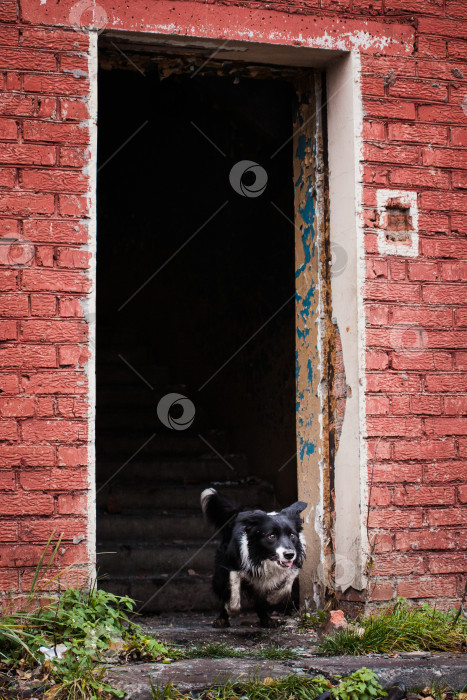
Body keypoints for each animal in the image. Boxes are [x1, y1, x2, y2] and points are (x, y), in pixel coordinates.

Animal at [200, 486, 308, 628]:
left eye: (292, 535)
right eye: (271, 536)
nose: (290, 554)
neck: (265, 558)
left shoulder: (295, 563)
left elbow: (287, 584)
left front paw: (272, 598)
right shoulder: (232, 564)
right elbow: (234, 591)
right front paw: (231, 608)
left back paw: (266, 619)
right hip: (220, 573)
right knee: (224, 592)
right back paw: (222, 619)